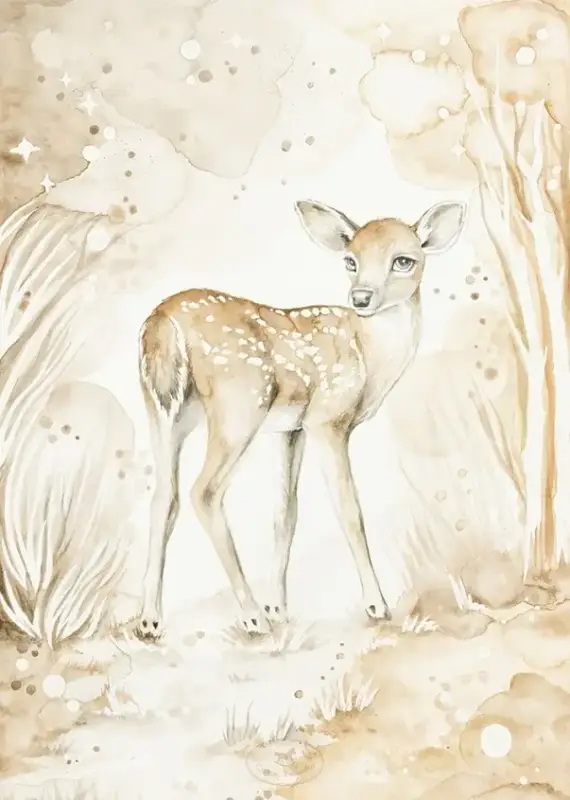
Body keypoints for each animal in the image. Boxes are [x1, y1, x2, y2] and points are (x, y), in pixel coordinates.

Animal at [135, 198, 467, 640]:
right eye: (350, 259)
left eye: (403, 260)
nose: (361, 297)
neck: (369, 356)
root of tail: (163, 323)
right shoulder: (328, 418)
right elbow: (349, 510)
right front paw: (376, 605)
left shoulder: (292, 428)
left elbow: (286, 512)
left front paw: (279, 607)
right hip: (238, 404)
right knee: (203, 492)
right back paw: (250, 616)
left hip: (164, 408)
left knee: (162, 497)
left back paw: (150, 620)